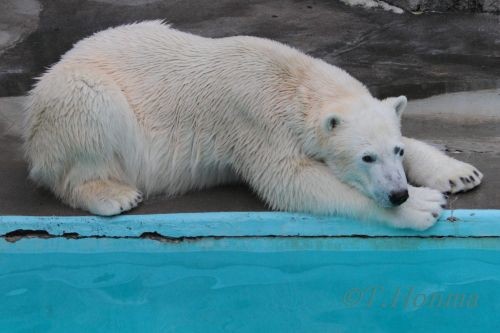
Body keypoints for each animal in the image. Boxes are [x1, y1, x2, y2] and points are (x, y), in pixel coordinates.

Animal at [23, 20, 480, 228]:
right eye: (366, 157)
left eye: (395, 151)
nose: (398, 192)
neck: (293, 81)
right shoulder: (254, 119)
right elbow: (290, 180)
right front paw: (422, 205)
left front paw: (459, 173)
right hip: (70, 100)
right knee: (88, 111)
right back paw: (113, 195)